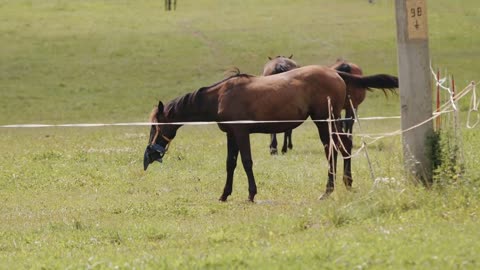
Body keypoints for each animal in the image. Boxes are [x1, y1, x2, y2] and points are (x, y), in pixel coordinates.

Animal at [142, 65, 398, 201]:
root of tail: (335, 73)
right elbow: (230, 163)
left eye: (155, 125)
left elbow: (246, 162)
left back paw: (329, 189)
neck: (221, 96)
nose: (150, 155)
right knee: (343, 146)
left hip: (324, 121)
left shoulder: (241, 133)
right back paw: (346, 183)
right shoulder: (230, 135)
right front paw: (224, 194)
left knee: (333, 148)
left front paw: (251, 194)